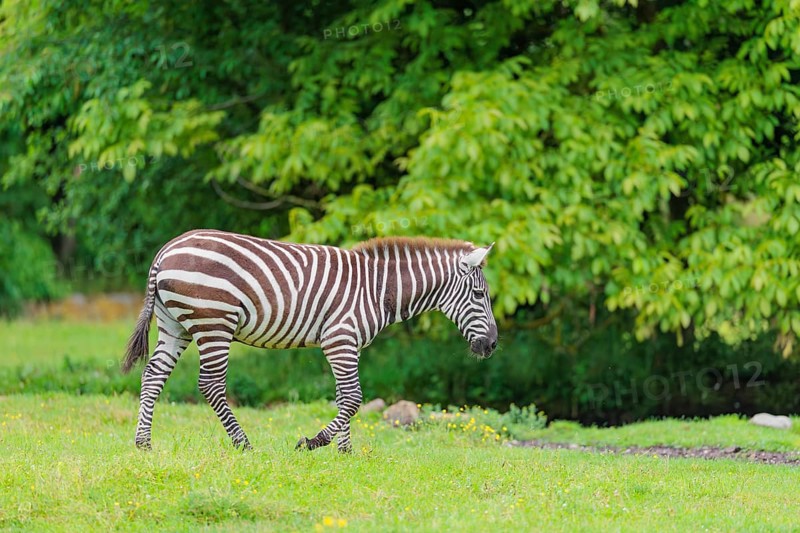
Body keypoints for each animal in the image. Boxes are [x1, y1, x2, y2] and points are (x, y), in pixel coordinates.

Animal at [122, 229, 498, 452]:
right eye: (480, 295)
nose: (492, 345)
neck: (379, 289)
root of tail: (166, 250)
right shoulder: (340, 340)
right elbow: (354, 398)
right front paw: (314, 442)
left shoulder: (347, 345)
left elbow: (343, 397)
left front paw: (345, 452)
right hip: (214, 322)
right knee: (210, 384)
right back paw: (243, 443)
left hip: (175, 325)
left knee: (153, 376)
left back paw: (143, 443)